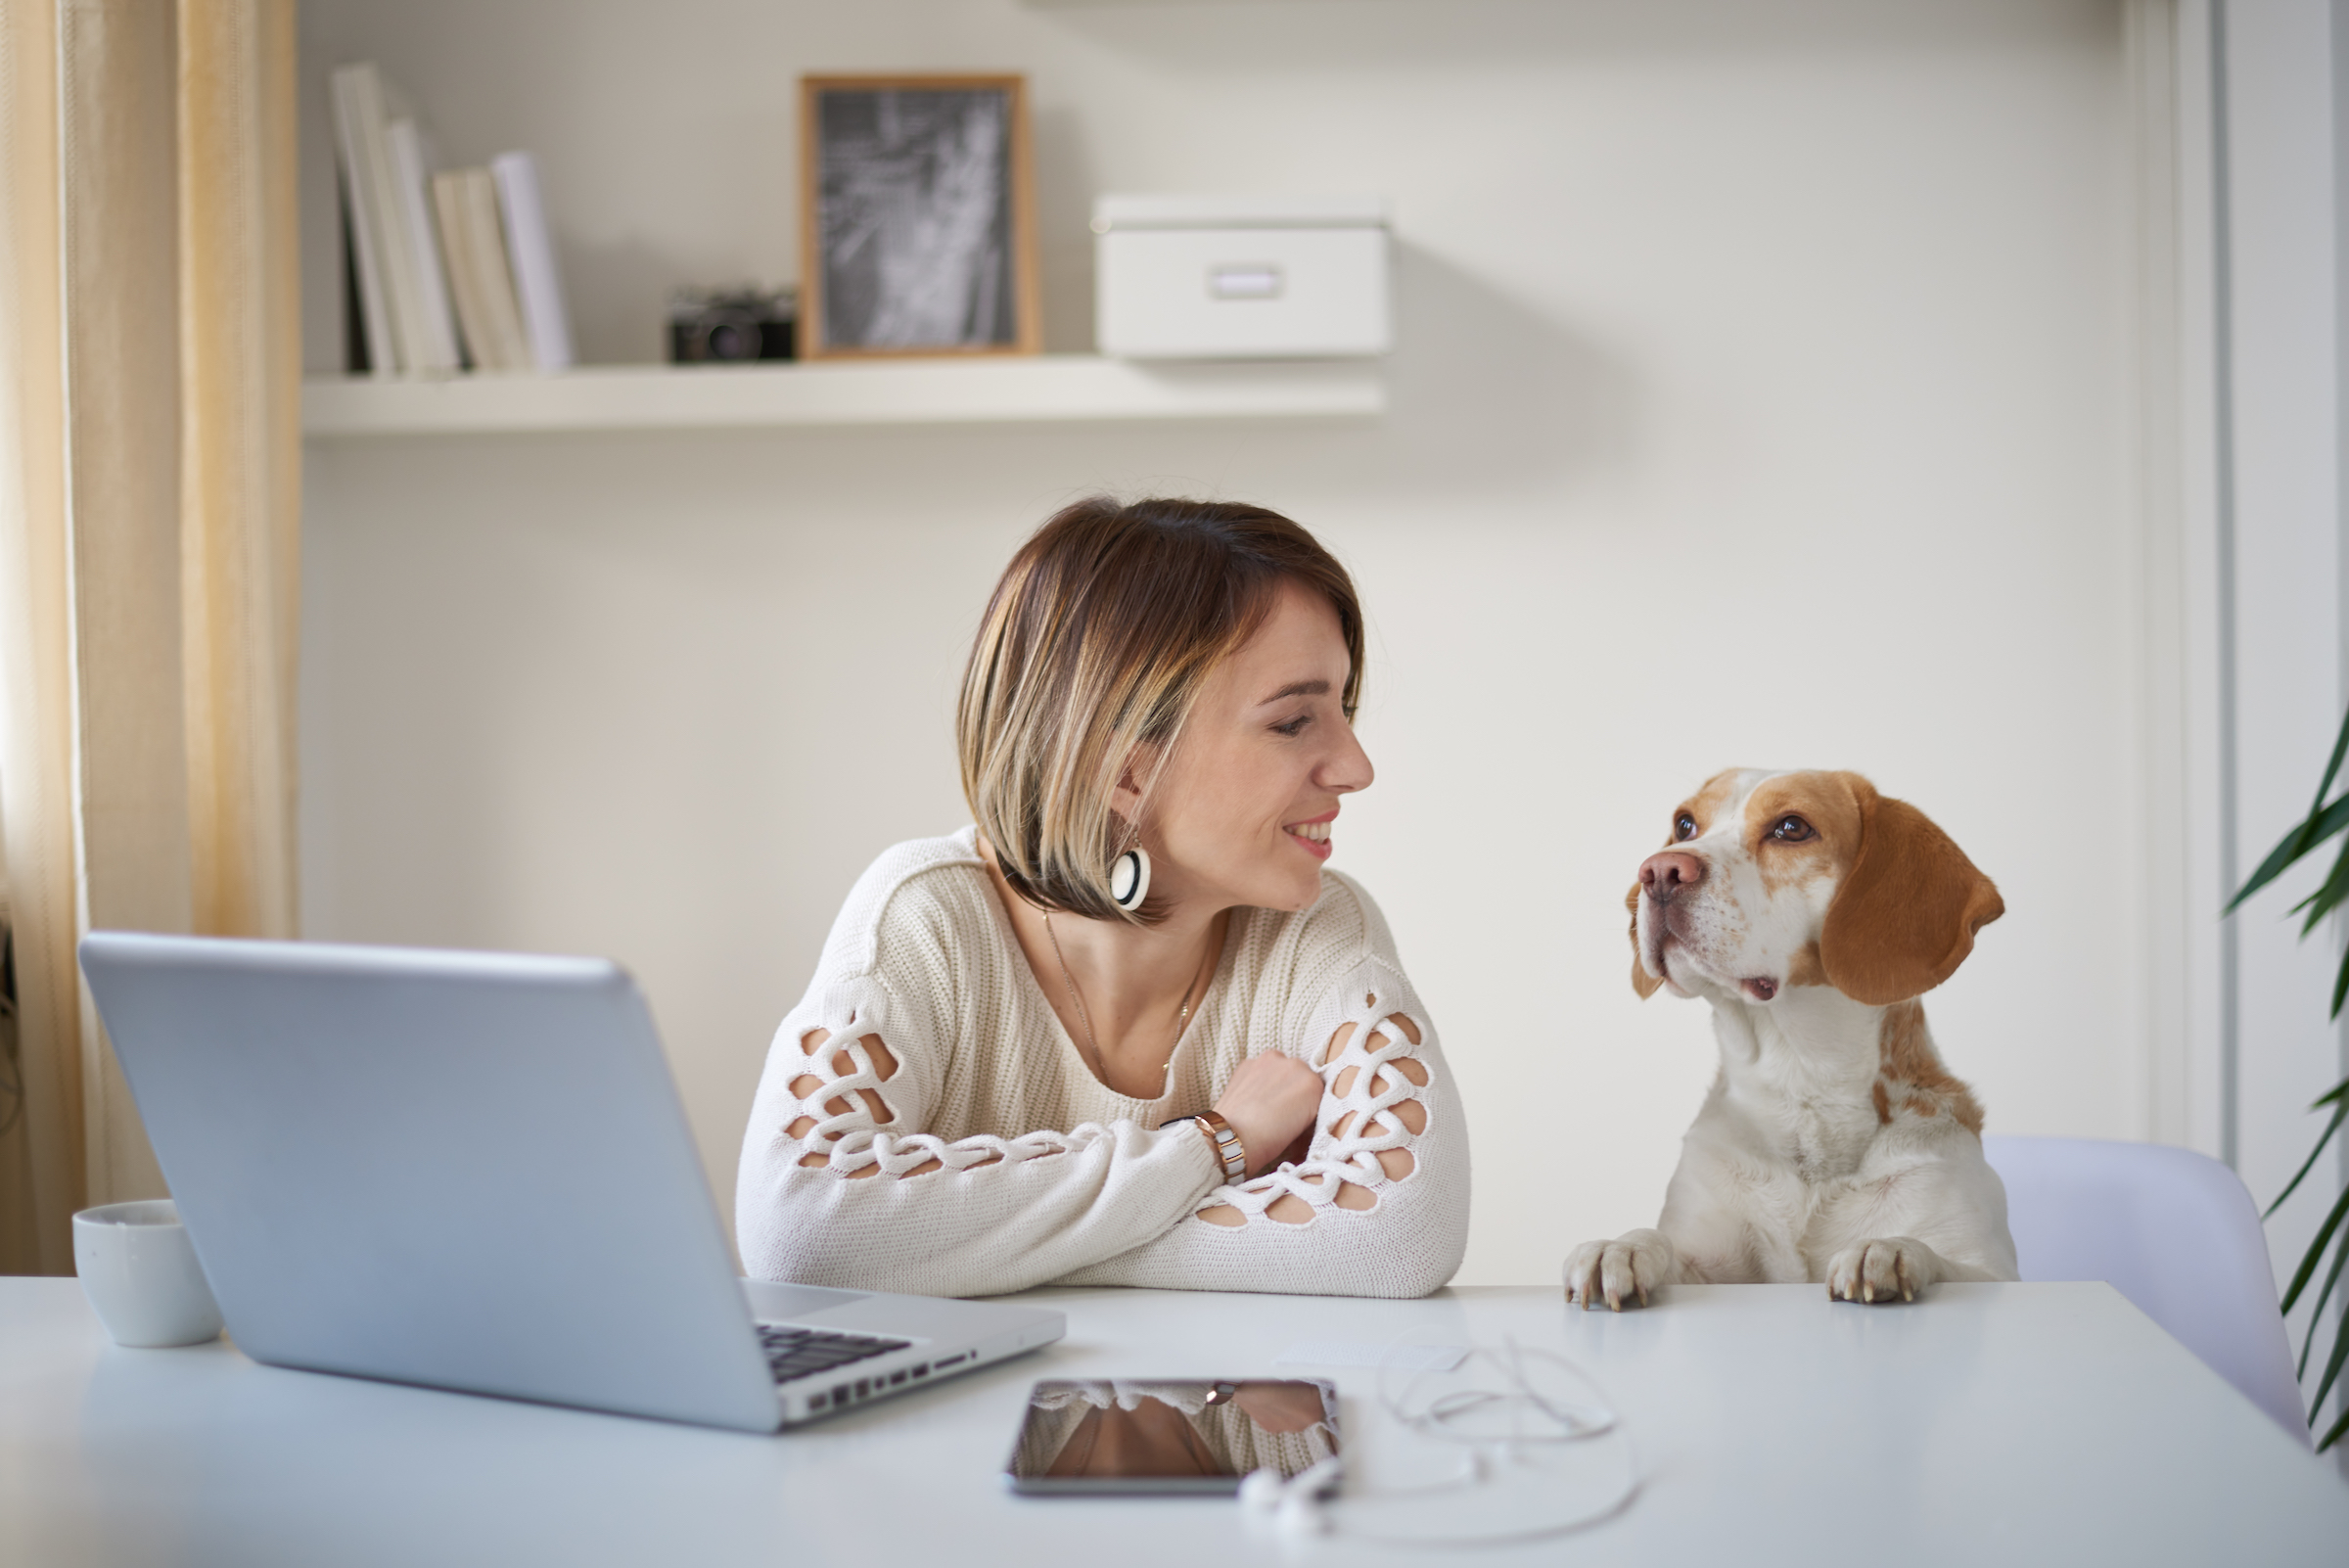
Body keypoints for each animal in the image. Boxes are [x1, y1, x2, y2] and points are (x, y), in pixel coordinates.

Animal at [1559, 769, 2020, 1314]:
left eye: (1792, 827)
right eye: (1685, 824)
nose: (1659, 870)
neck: (1799, 1083)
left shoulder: (1992, 1270)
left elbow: (1938, 1258)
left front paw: (1887, 1249)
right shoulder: (1709, 1260)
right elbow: (1661, 1243)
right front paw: (1621, 1246)